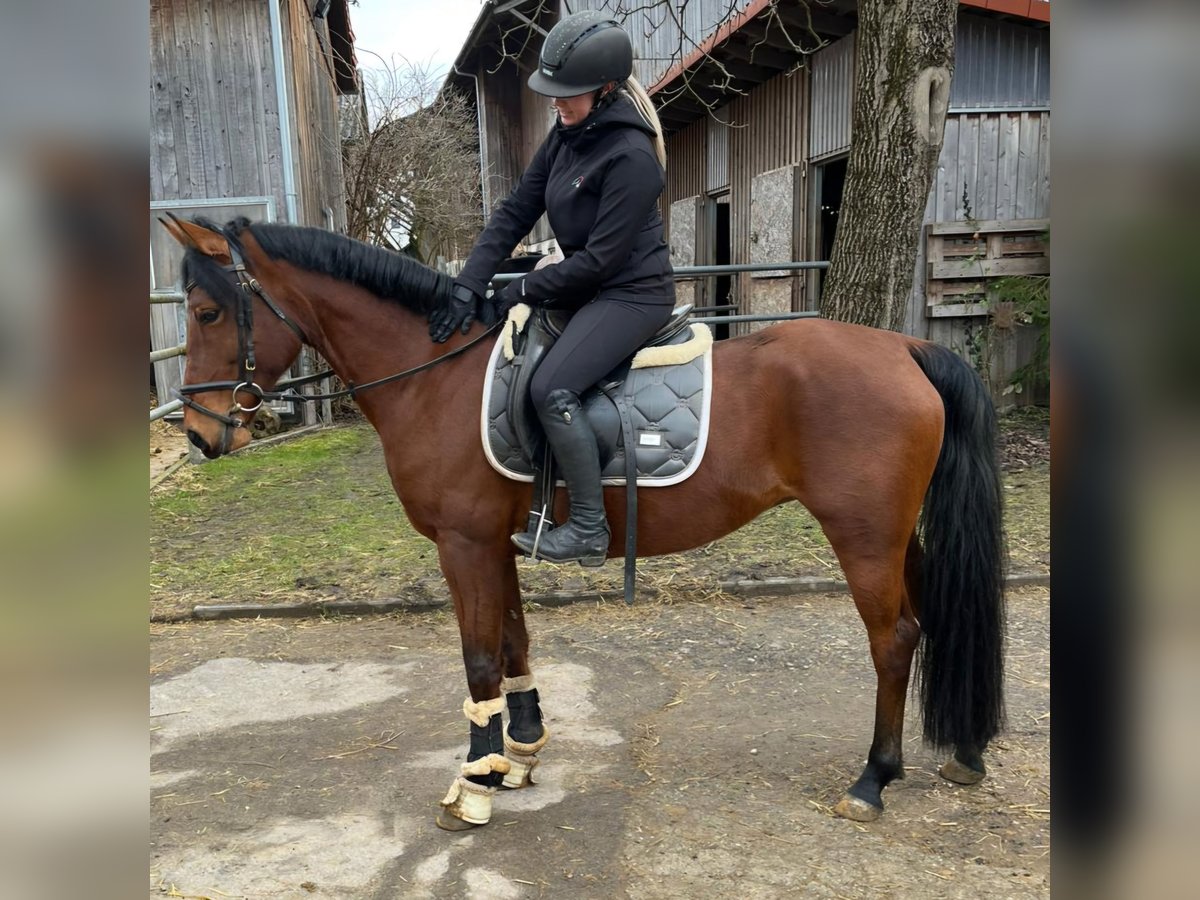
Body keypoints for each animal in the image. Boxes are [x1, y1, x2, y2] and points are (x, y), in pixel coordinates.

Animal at [159, 217, 1003, 830]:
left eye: (207, 311)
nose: (199, 435)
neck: (438, 376)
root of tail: (909, 347)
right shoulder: (496, 544)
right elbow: (513, 643)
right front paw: (520, 755)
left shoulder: (464, 545)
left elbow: (477, 659)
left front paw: (474, 784)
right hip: (899, 537)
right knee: (935, 617)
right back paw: (963, 751)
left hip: (863, 538)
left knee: (894, 640)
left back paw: (873, 780)